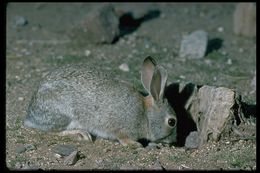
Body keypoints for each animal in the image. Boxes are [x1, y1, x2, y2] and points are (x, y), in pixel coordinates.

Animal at [24, 56, 177, 147]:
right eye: (172, 122)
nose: (174, 141)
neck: (145, 115)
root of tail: (31, 115)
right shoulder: (123, 129)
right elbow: (123, 138)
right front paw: (135, 145)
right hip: (63, 115)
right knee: (52, 131)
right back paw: (81, 134)